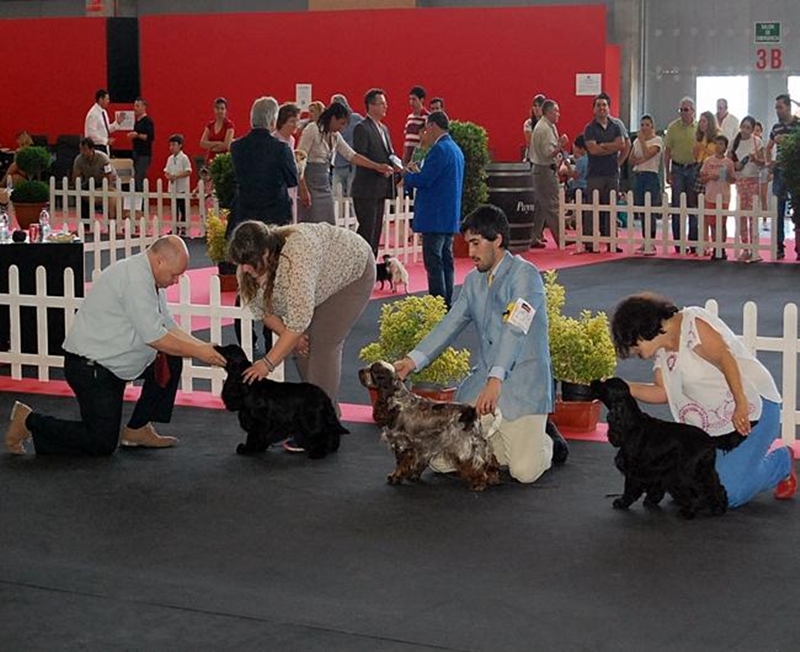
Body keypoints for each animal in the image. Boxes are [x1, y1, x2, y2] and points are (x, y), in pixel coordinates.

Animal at [216, 342, 346, 458]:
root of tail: (323, 395)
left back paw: (317, 453)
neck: (246, 383)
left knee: (320, 435)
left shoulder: (259, 421)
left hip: (311, 421)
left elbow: (253, 436)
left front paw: (247, 449)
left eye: (225, 350)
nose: (216, 346)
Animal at [358, 362, 500, 488]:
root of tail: (472, 411)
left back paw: (479, 484)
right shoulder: (421, 446)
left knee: (476, 463)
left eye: (373, 370)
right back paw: (493, 478)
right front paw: (412, 475)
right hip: (478, 442)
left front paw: (394, 477)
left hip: (464, 446)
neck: (397, 400)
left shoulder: (402, 444)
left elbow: (400, 463)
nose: (360, 371)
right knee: (490, 458)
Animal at [592, 376, 748, 520]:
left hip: (688, 472)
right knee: (717, 488)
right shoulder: (657, 470)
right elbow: (655, 487)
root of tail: (710, 439)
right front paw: (651, 500)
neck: (630, 421)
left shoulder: (633, 467)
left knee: (698, 492)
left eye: (604, 383)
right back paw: (718, 509)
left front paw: (622, 502)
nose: (593, 381)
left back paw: (688, 512)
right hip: (705, 470)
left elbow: (629, 487)